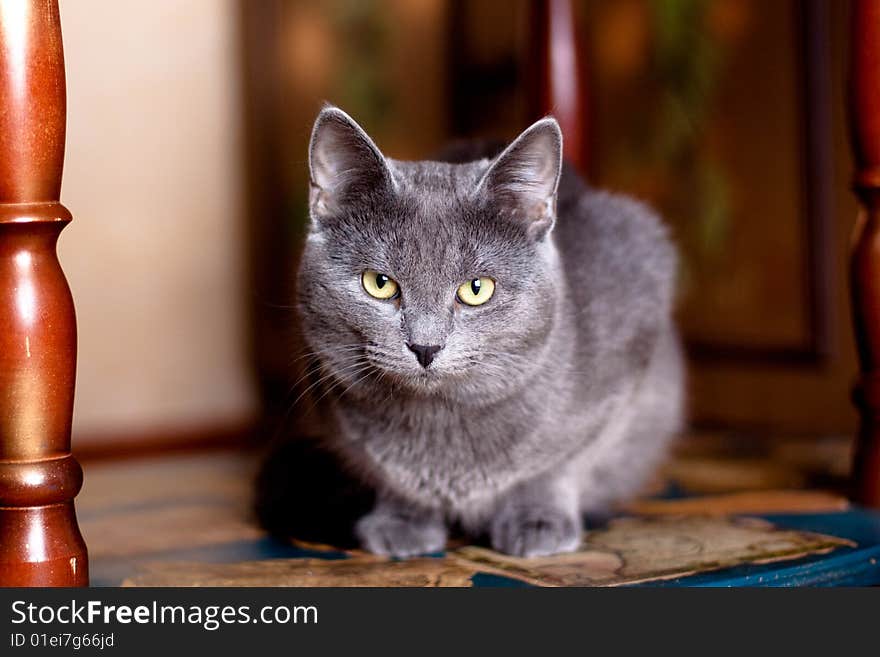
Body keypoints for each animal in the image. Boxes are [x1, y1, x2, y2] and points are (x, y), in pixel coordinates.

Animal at [292, 105, 684, 556]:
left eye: (476, 289)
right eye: (379, 283)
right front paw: (402, 520)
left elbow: (560, 463)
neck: (439, 423)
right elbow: (390, 478)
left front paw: (538, 520)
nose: (425, 346)